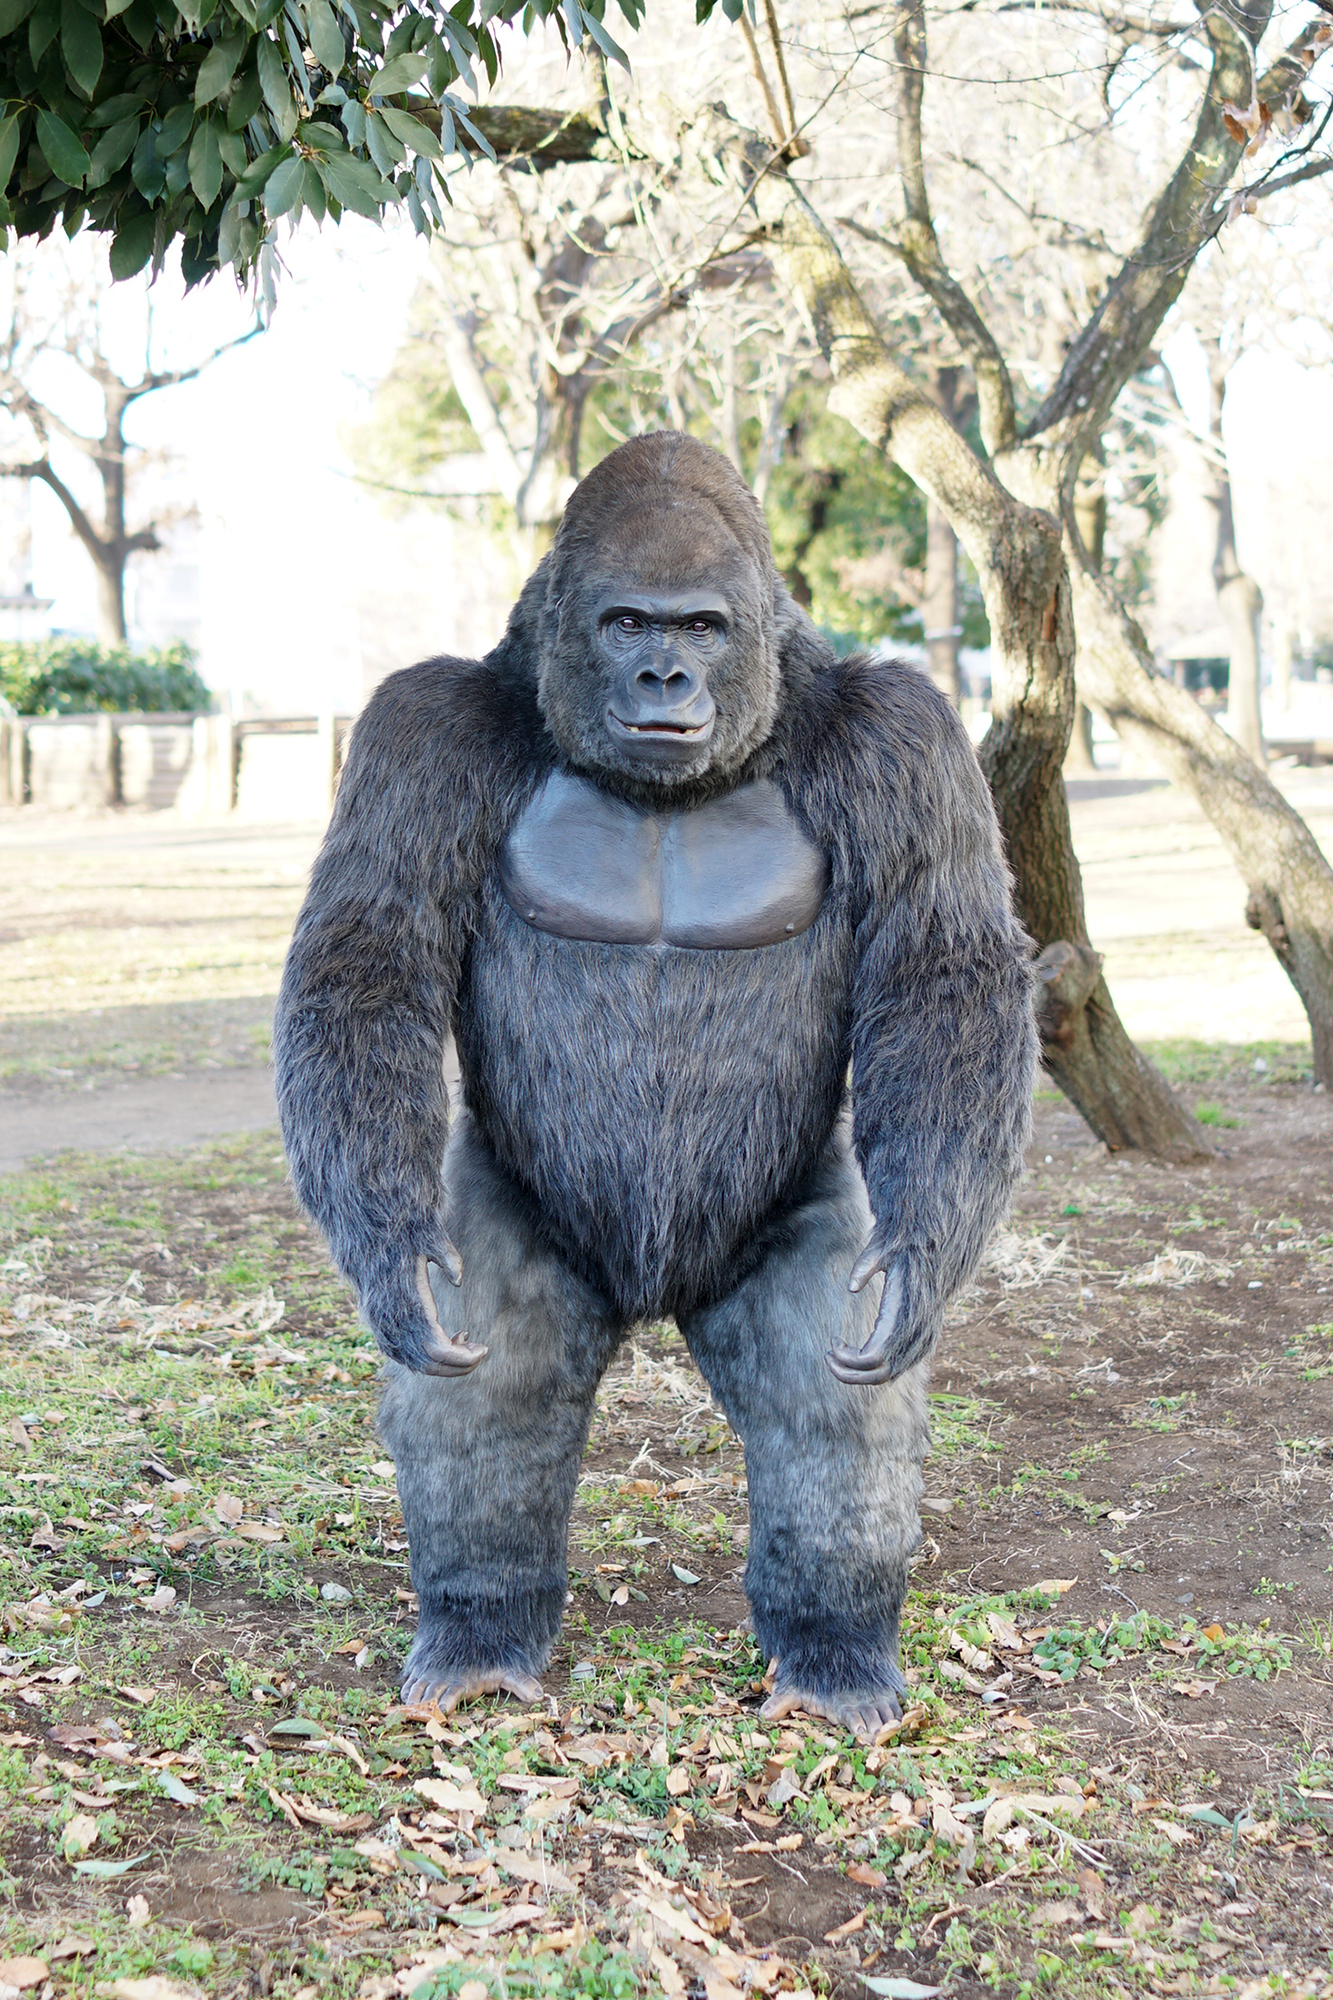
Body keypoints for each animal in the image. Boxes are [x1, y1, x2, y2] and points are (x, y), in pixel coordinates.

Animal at [274, 430, 1036, 1740]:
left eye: (701, 625)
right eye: (628, 619)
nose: (664, 676)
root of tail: (653, 1288)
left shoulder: (907, 735)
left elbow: (945, 974)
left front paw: (925, 1251)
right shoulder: (420, 731)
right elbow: (364, 965)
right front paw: (384, 1245)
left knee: (825, 1404)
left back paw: (835, 1650)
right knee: (501, 1393)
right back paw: (479, 1629)